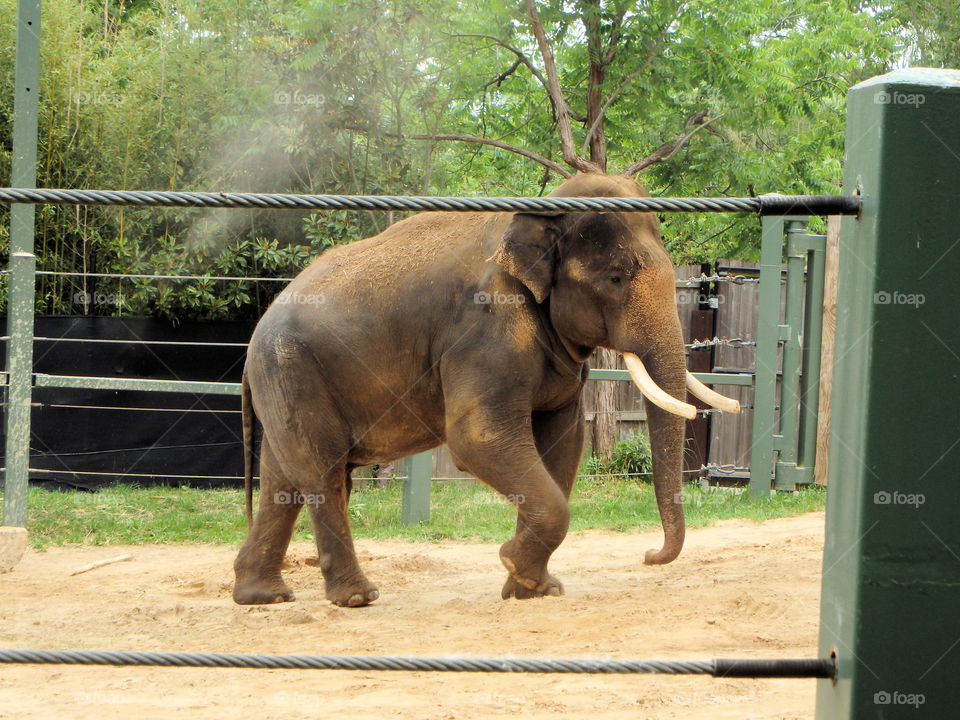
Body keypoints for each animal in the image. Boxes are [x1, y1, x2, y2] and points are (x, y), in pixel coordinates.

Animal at [233, 172, 738, 607]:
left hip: (286, 380)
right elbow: (479, 438)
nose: (649, 556)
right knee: (323, 473)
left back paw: (262, 596)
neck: (539, 215)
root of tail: (257, 332)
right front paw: (516, 567)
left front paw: (531, 588)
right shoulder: (485, 326)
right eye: (615, 277)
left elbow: (563, 440)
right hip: (293, 370)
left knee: (283, 479)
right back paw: (358, 598)